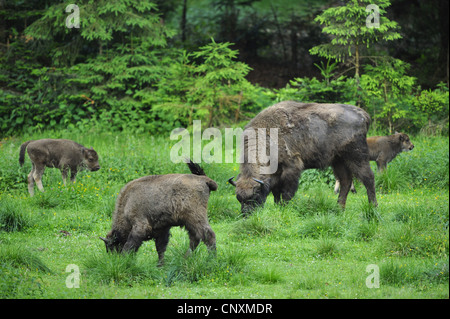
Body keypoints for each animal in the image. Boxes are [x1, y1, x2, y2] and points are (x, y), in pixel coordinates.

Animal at [229, 101, 376, 214]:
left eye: (255, 196)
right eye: (239, 198)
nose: (246, 214)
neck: (267, 135)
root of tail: (363, 115)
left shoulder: (291, 168)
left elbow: (286, 192)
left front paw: (284, 208)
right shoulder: (275, 175)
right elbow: (276, 193)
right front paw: (278, 207)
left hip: (356, 157)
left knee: (368, 177)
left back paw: (373, 207)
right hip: (338, 161)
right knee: (346, 181)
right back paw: (339, 209)